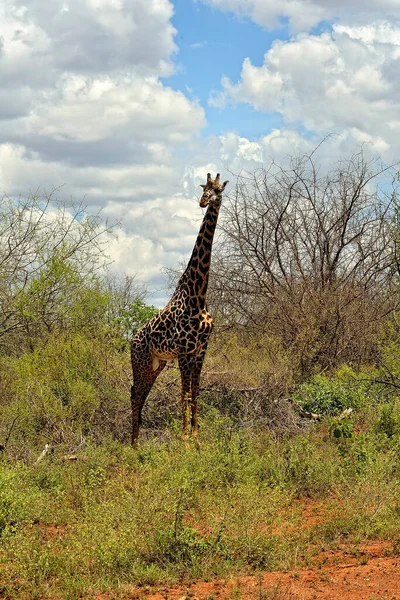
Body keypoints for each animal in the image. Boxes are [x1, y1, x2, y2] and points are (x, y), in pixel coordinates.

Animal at [130, 172, 228, 446]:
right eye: (204, 189)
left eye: (218, 190)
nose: (203, 202)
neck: (198, 295)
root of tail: (131, 339)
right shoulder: (184, 350)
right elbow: (184, 392)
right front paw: (184, 438)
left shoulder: (201, 348)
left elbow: (195, 390)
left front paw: (195, 435)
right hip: (140, 361)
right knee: (135, 394)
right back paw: (133, 445)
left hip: (156, 364)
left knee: (139, 393)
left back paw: (136, 441)